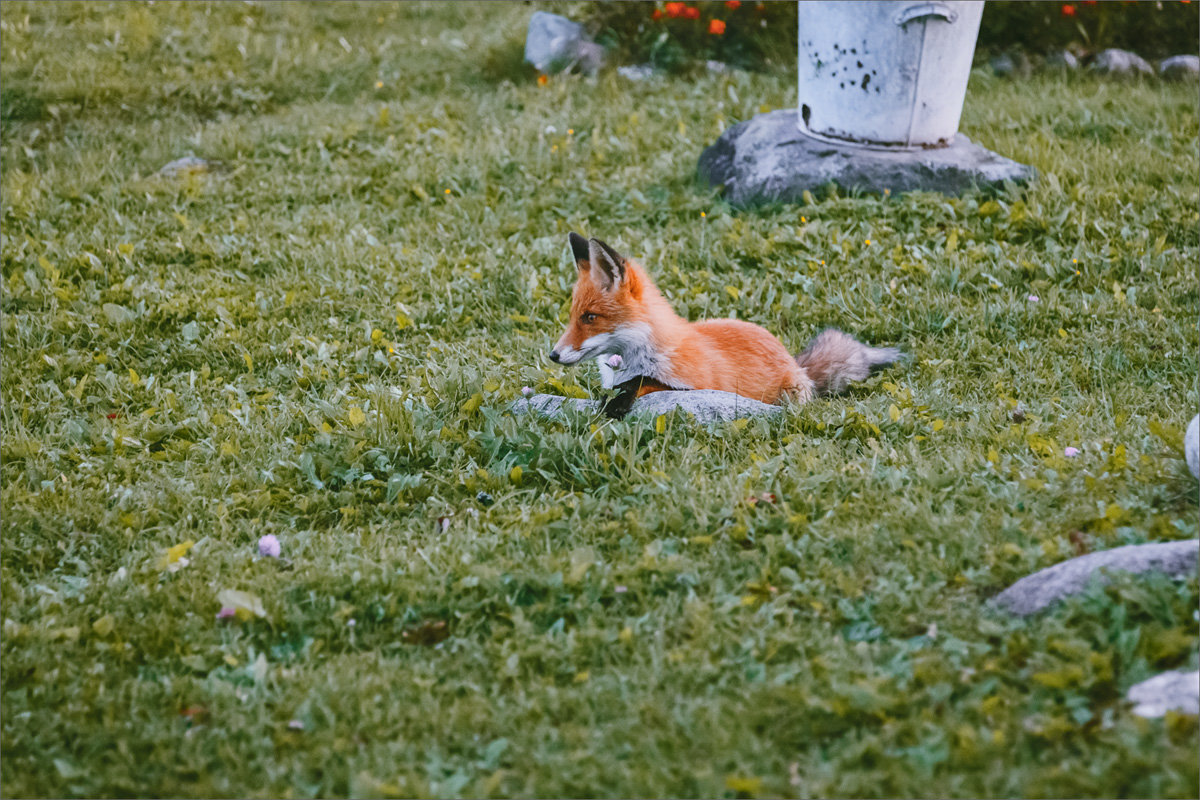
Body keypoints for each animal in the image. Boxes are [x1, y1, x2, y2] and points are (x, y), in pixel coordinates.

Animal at [549, 231, 897, 417]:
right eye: (573, 315)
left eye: (590, 317)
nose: (553, 355)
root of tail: (796, 362)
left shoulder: (700, 384)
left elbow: (647, 384)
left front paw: (619, 400)